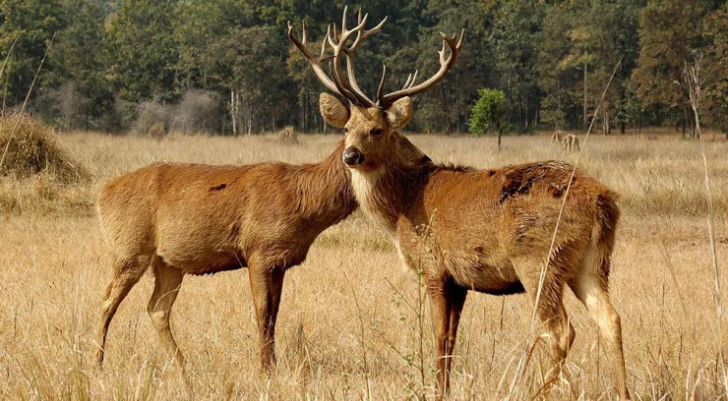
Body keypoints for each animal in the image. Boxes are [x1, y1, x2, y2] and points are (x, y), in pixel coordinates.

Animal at [290, 9, 630, 400]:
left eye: (378, 129)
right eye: (346, 127)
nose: (350, 156)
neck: (403, 202)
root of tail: (603, 201)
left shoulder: (433, 265)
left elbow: (438, 336)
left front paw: (435, 389)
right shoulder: (461, 280)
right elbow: (452, 339)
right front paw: (445, 388)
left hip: (538, 259)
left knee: (561, 330)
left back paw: (537, 391)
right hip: (593, 261)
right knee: (611, 319)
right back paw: (623, 391)